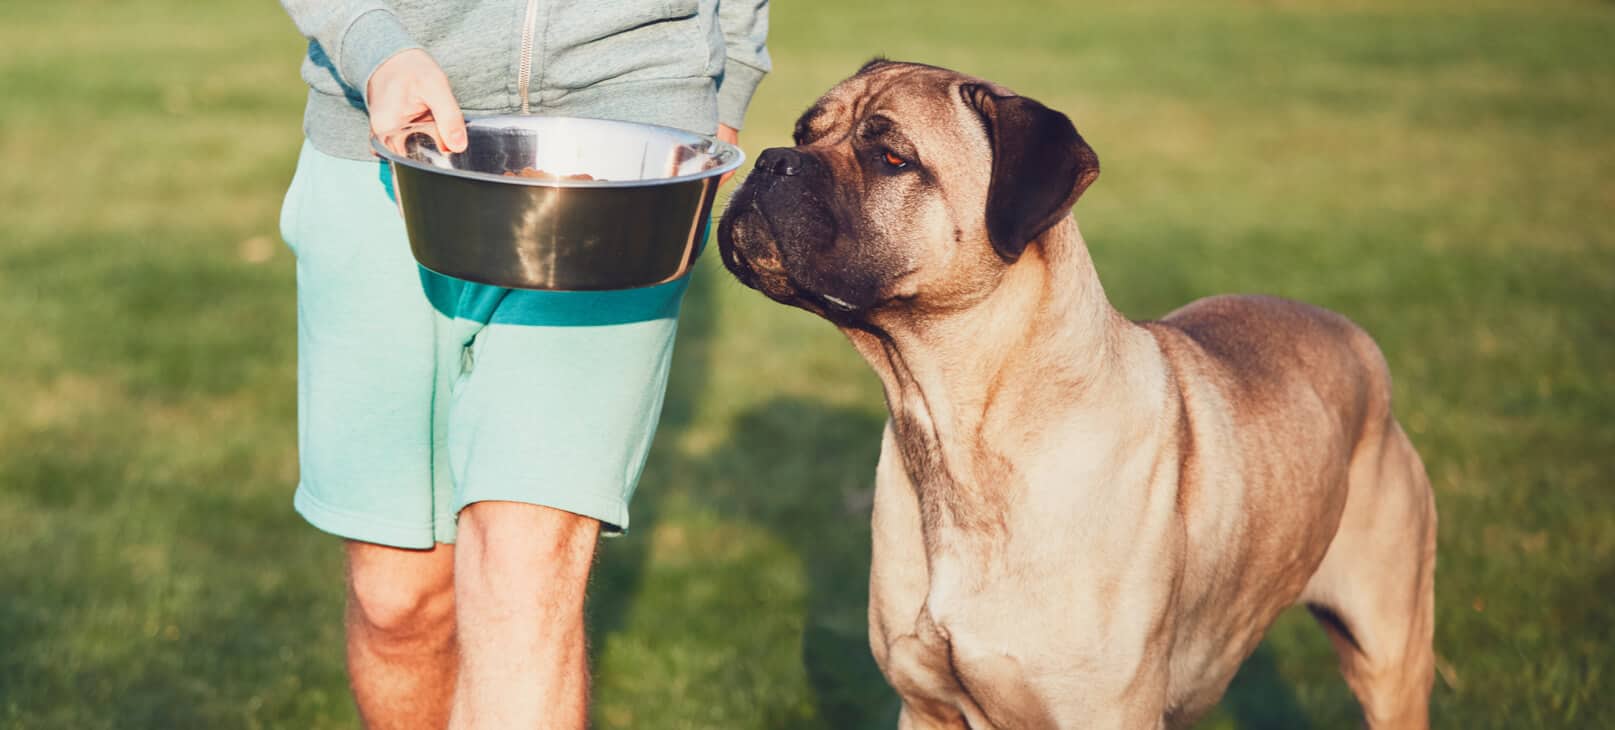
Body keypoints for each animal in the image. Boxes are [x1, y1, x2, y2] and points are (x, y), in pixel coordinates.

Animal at [720, 62, 1440, 730]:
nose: (769, 161)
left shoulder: (1102, 709)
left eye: (892, 157)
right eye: (804, 134)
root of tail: (1355, 339)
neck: (957, 428)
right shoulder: (926, 706)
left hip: (1388, 653)